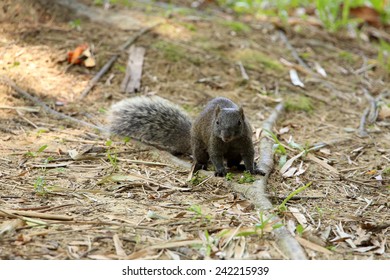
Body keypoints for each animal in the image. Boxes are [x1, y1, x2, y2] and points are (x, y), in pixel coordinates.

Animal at [108, 95, 264, 176]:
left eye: (239, 122)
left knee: (233, 163)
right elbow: (215, 156)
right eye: (217, 122)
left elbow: (249, 155)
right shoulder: (214, 142)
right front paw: (220, 171)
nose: (226, 136)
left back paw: (242, 167)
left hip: (235, 155)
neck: (230, 142)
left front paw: (252, 169)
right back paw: (201, 165)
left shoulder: (246, 141)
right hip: (199, 147)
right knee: (202, 157)